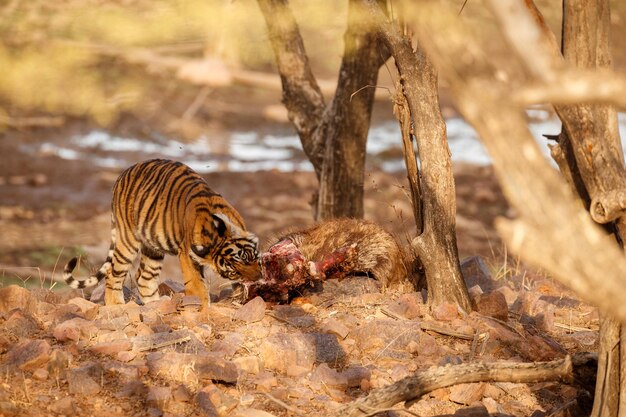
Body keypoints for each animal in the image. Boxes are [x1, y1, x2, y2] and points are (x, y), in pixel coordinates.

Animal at [62, 158, 258, 308]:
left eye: (245, 259)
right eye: (234, 271)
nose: (257, 279)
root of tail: (122, 175)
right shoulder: (187, 253)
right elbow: (196, 284)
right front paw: (202, 307)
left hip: (152, 249)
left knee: (144, 279)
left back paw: (154, 305)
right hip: (127, 240)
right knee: (113, 273)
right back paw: (116, 306)